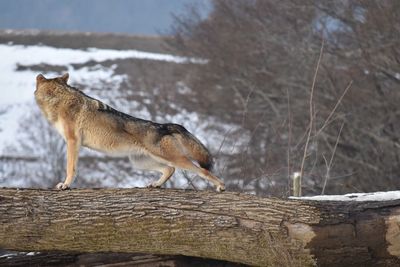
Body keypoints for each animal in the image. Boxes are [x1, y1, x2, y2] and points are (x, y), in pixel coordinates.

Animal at [34, 73, 225, 193]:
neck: (58, 98)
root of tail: (165, 126)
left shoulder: (72, 141)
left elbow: (70, 168)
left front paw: (65, 185)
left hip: (172, 159)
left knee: (202, 171)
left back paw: (221, 186)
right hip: (140, 162)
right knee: (170, 169)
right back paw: (155, 185)